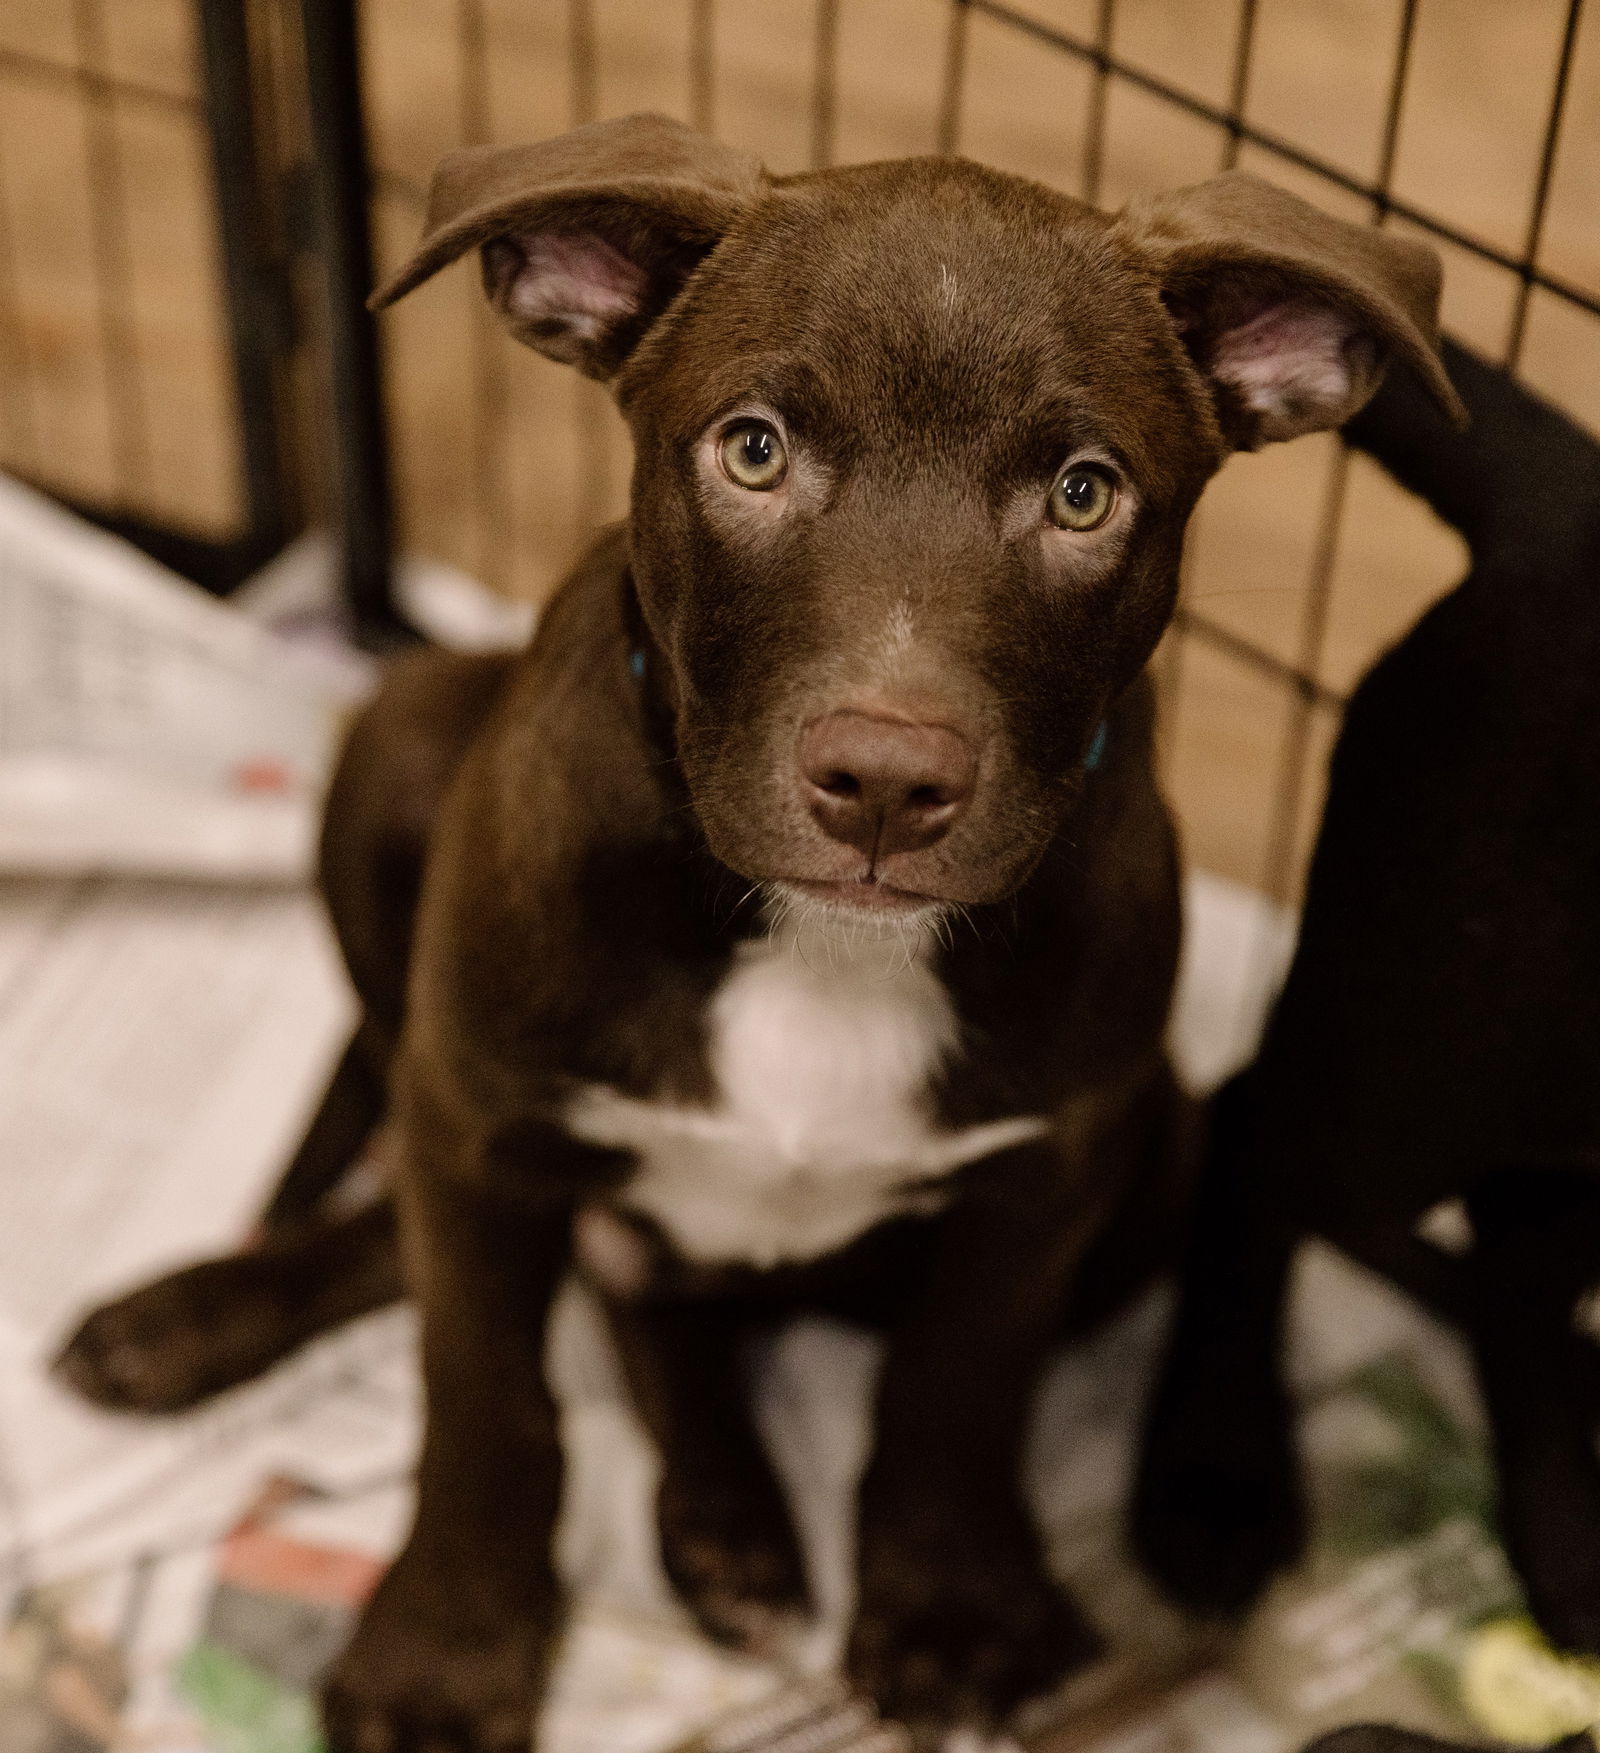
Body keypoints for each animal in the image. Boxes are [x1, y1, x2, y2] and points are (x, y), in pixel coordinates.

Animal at [53, 113, 1458, 1753]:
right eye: (754, 450)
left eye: (1084, 493)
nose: (888, 783)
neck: (817, 947)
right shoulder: (478, 1119)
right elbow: (484, 1397)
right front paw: (446, 1647)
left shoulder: (1048, 1172)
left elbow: (956, 1390)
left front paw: (951, 1608)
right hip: (400, 751)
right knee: (479, 1237)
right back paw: (188, 1318)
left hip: (1158, 1150)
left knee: (647, 1289)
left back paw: (725, 1528)